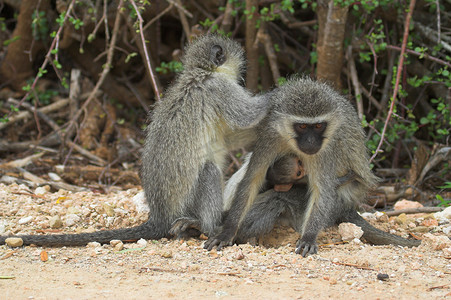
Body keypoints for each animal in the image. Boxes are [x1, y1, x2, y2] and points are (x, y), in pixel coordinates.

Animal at [0, 34, 268, 246]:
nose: (245, 70)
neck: (201, 72)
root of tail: (159, 217)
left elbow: (232, 137)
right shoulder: (219, 89)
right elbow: (248, 117)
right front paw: (276, 95)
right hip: (188, 203)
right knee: (209, 171)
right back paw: (206, 226)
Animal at [207, 77, 422, 255]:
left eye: (319, 126)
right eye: (302, 126)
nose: (311, 142)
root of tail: (349, 207)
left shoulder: (326, 149)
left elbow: (323, 190)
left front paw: (309, 237)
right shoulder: (270, 136)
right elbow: (252, 179)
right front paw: (227, 231)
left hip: (336, 205)